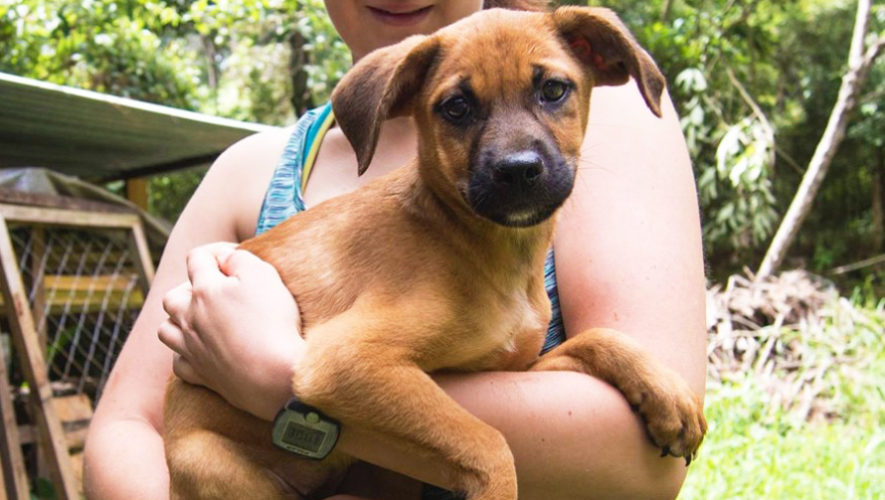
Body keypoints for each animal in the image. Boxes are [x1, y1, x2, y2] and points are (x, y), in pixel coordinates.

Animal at [164, 7, 704, 500]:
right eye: (457, 107)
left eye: (553, 90)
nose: (518, 171)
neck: (478, 245)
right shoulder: (344, 360)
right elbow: (489, 443)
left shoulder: (514, 369)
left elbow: (597, 338)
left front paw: (667, 395)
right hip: (217, 467)